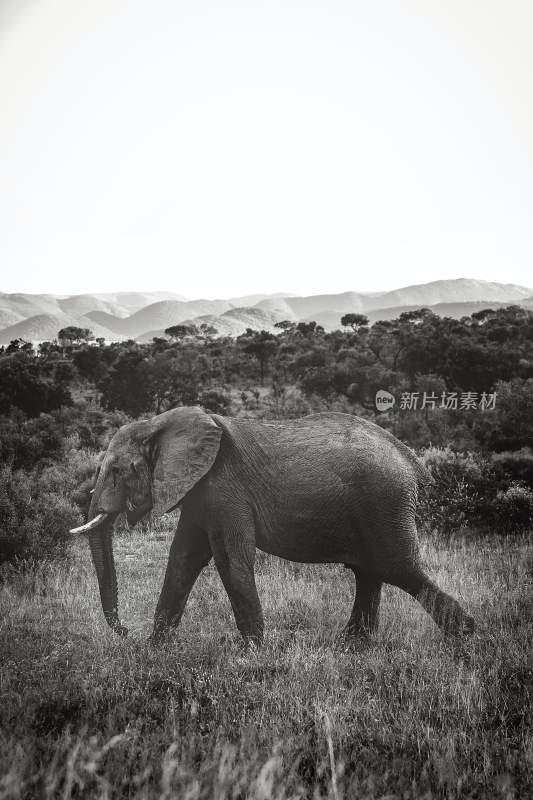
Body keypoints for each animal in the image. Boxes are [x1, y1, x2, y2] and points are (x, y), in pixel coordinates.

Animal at [69, 410, 474, 640]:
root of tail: (412, 460)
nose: (125, 631)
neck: (160, 425)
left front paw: (251, 654)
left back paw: (468, 641)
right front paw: (156, 650)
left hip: (384, 501)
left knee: (397, 567)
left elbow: (229, 560)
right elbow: (183, 558)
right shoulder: (199, 491)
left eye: (117, 470)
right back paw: (352, 648)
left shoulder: (223, 486)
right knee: (369, 573)